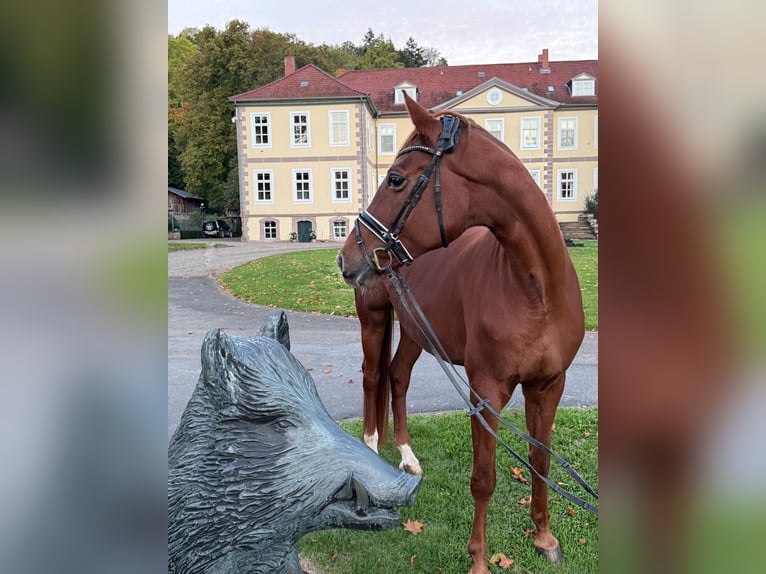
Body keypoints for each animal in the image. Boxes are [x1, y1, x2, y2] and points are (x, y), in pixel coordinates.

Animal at [337, 94, 585, 573]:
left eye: (396, 179)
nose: (346, 256)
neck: (537, 291)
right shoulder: (485, 393)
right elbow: (484, 479)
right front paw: (479, 560)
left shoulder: (549, 385)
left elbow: (540, 459)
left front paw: (544, 538)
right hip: (374, 320)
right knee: (373, 377)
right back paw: (373, 453)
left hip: (416, 332)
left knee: (397, 377)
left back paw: (408, 457)